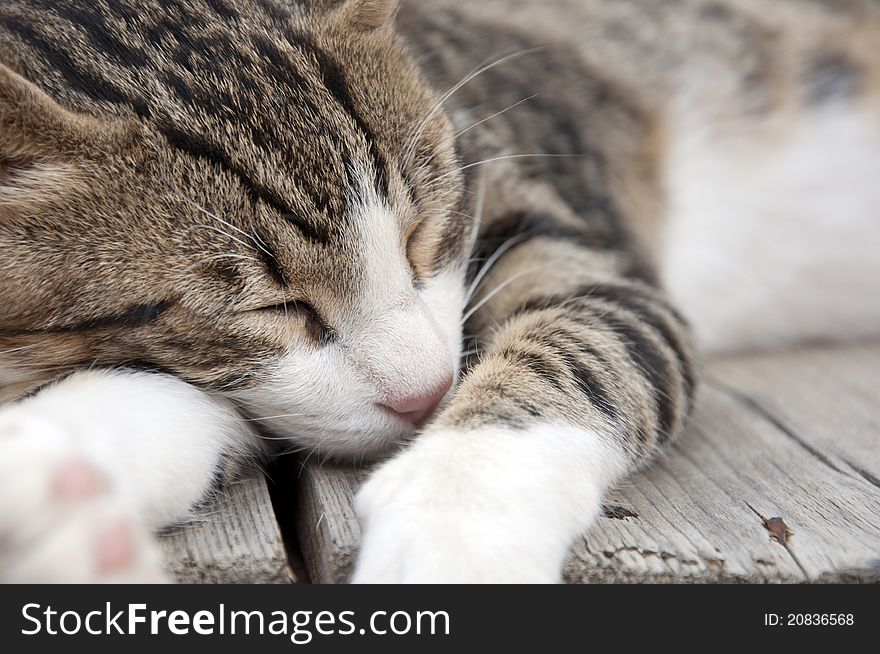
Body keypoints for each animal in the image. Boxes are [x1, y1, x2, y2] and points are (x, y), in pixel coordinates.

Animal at [1, 0, 880, 584]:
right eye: (276, 309)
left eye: (424, 232)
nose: (427, 393)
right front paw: (52, 479)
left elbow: (591, 331)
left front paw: (459, 522)